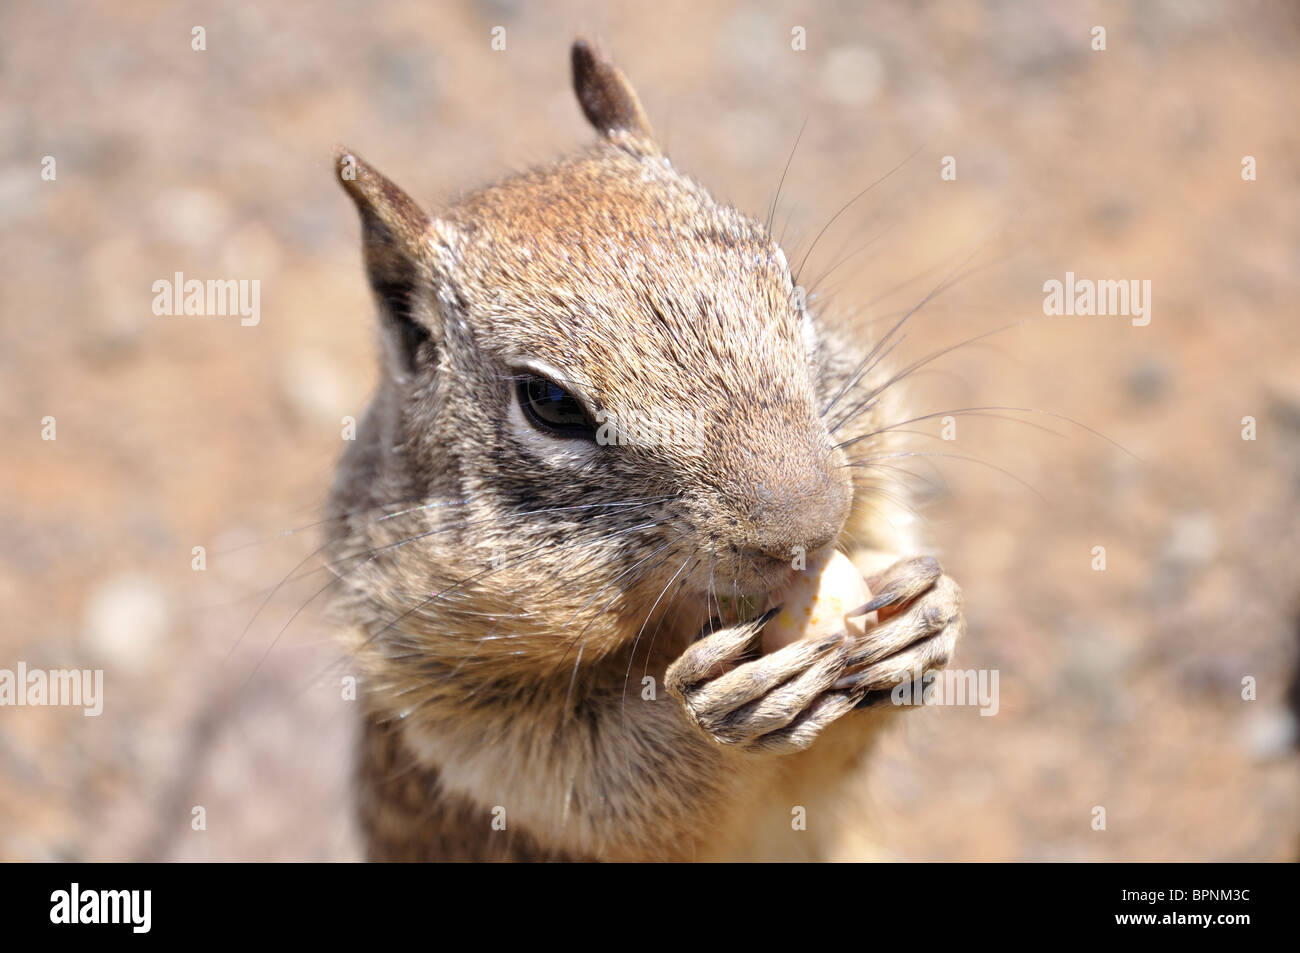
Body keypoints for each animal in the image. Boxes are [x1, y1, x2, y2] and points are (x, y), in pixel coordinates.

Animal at [325, 38, 964, 861]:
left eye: (787, 282)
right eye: (550, 403)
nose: (811, 527)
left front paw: (926, 616)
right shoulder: (437, 684)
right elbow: (601, 781)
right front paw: (715, 710)